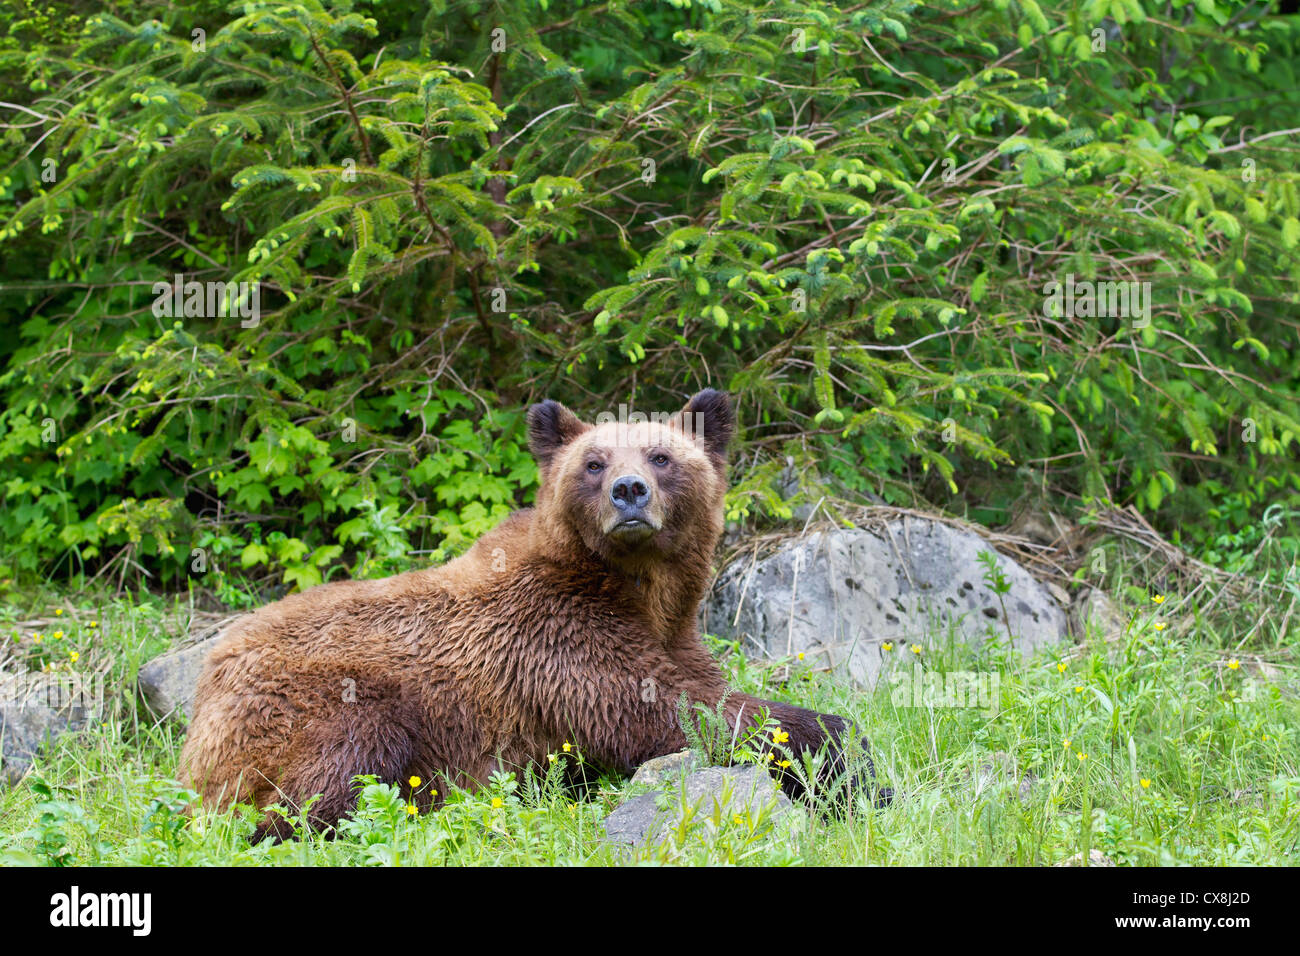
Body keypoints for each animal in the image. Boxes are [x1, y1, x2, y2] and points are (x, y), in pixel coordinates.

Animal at [179, 389, 880, 842]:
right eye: (594, 462)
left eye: (660, 455)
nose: (629, 491)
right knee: (331, 774)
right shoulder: (557, 640)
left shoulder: (669, 634)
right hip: (308, 702)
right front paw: (850, 762)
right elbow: (674, 713)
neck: (638, 590)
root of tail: (204, 685)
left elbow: (700, 695)